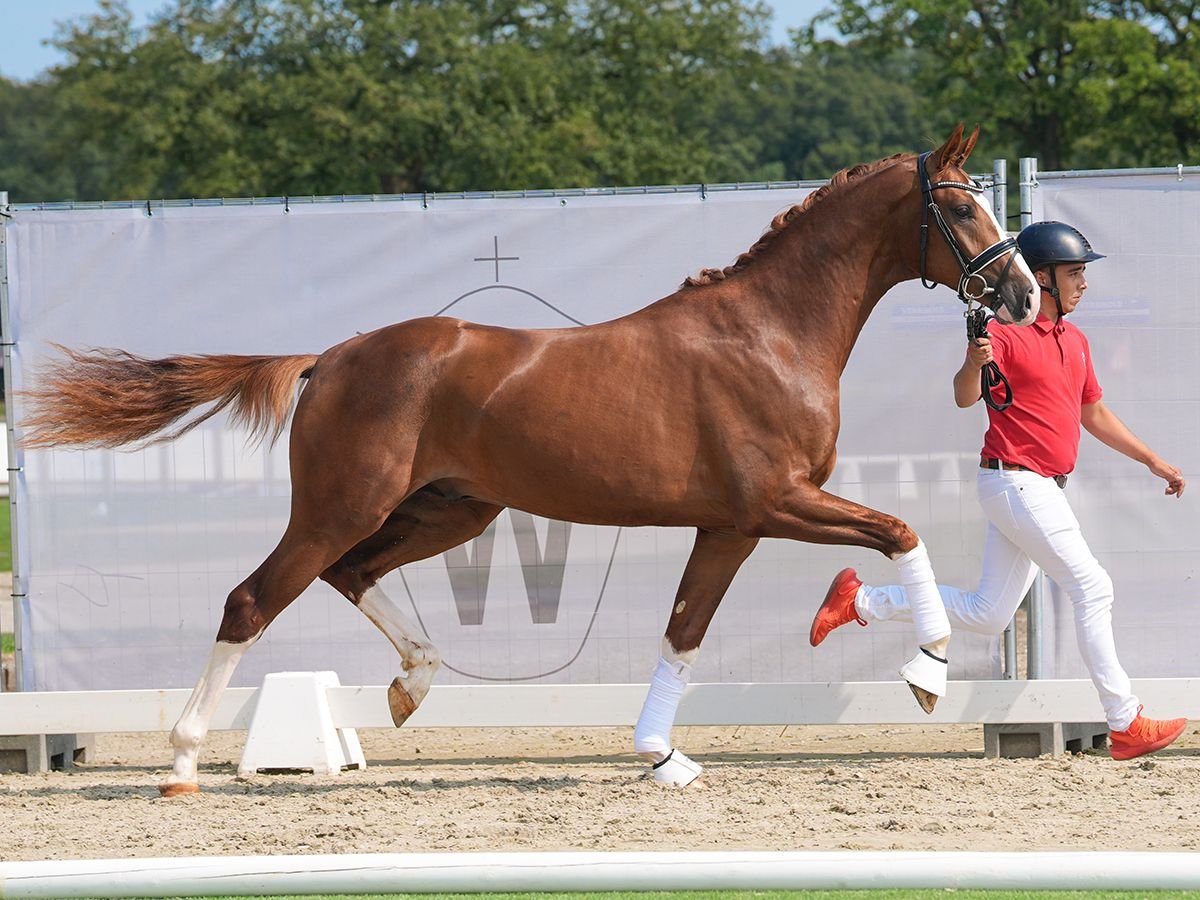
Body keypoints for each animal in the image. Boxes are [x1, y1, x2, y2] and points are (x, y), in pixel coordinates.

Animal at [18, 123, 1036, 792]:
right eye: (960, 206)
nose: (1024, 296)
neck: (771, 334)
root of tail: (328, 358)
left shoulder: (727, 526)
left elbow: (683, 633)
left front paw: (663, 757)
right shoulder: (774, 503)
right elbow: (899, 532)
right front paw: (927, 672)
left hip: (448, 509)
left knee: (352, 575)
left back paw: (412, 684)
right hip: (341, 506)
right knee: (252, 600)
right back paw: (186, 760)